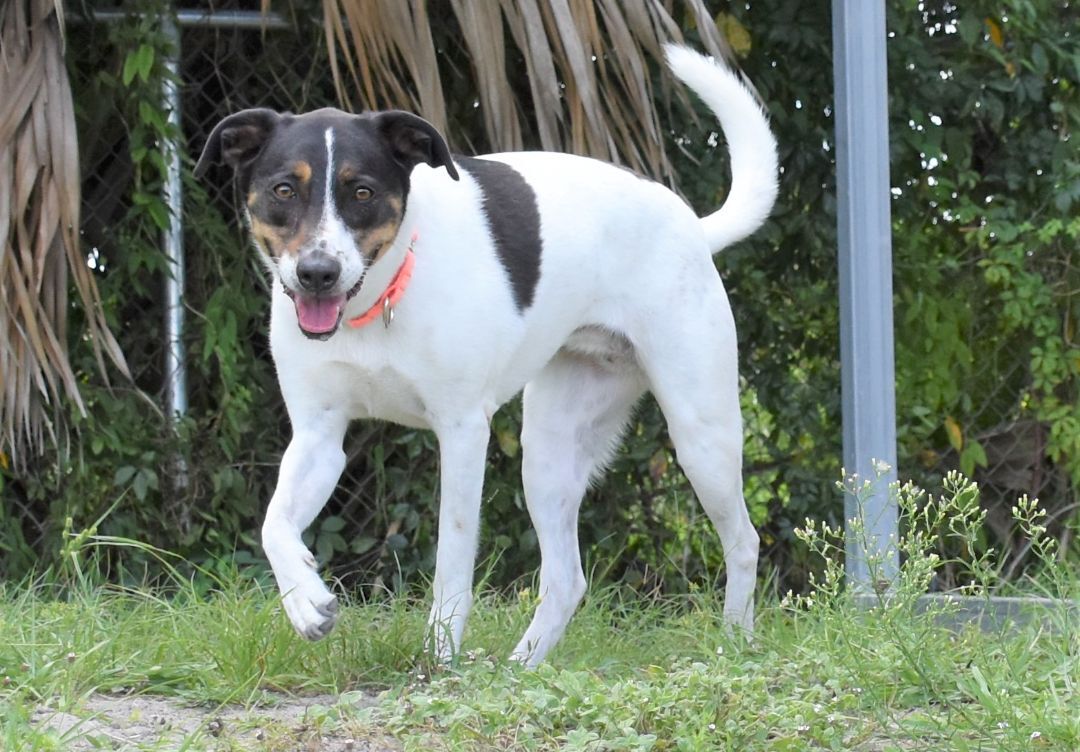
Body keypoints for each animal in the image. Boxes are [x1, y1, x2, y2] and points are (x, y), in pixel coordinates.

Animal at [196, 45, 777, 665]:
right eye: (284, 190)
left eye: (362, 192)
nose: (317, 273)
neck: (378, 303)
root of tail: (691, 224)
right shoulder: (318, 437)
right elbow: (273, 526)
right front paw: (306, 600)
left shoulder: (462, 431)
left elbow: (452, 559)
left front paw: (440, 657)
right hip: (547, 451)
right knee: (566, 579)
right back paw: (520, 669)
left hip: (701, 434)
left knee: (743, 541)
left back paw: (735, 643)